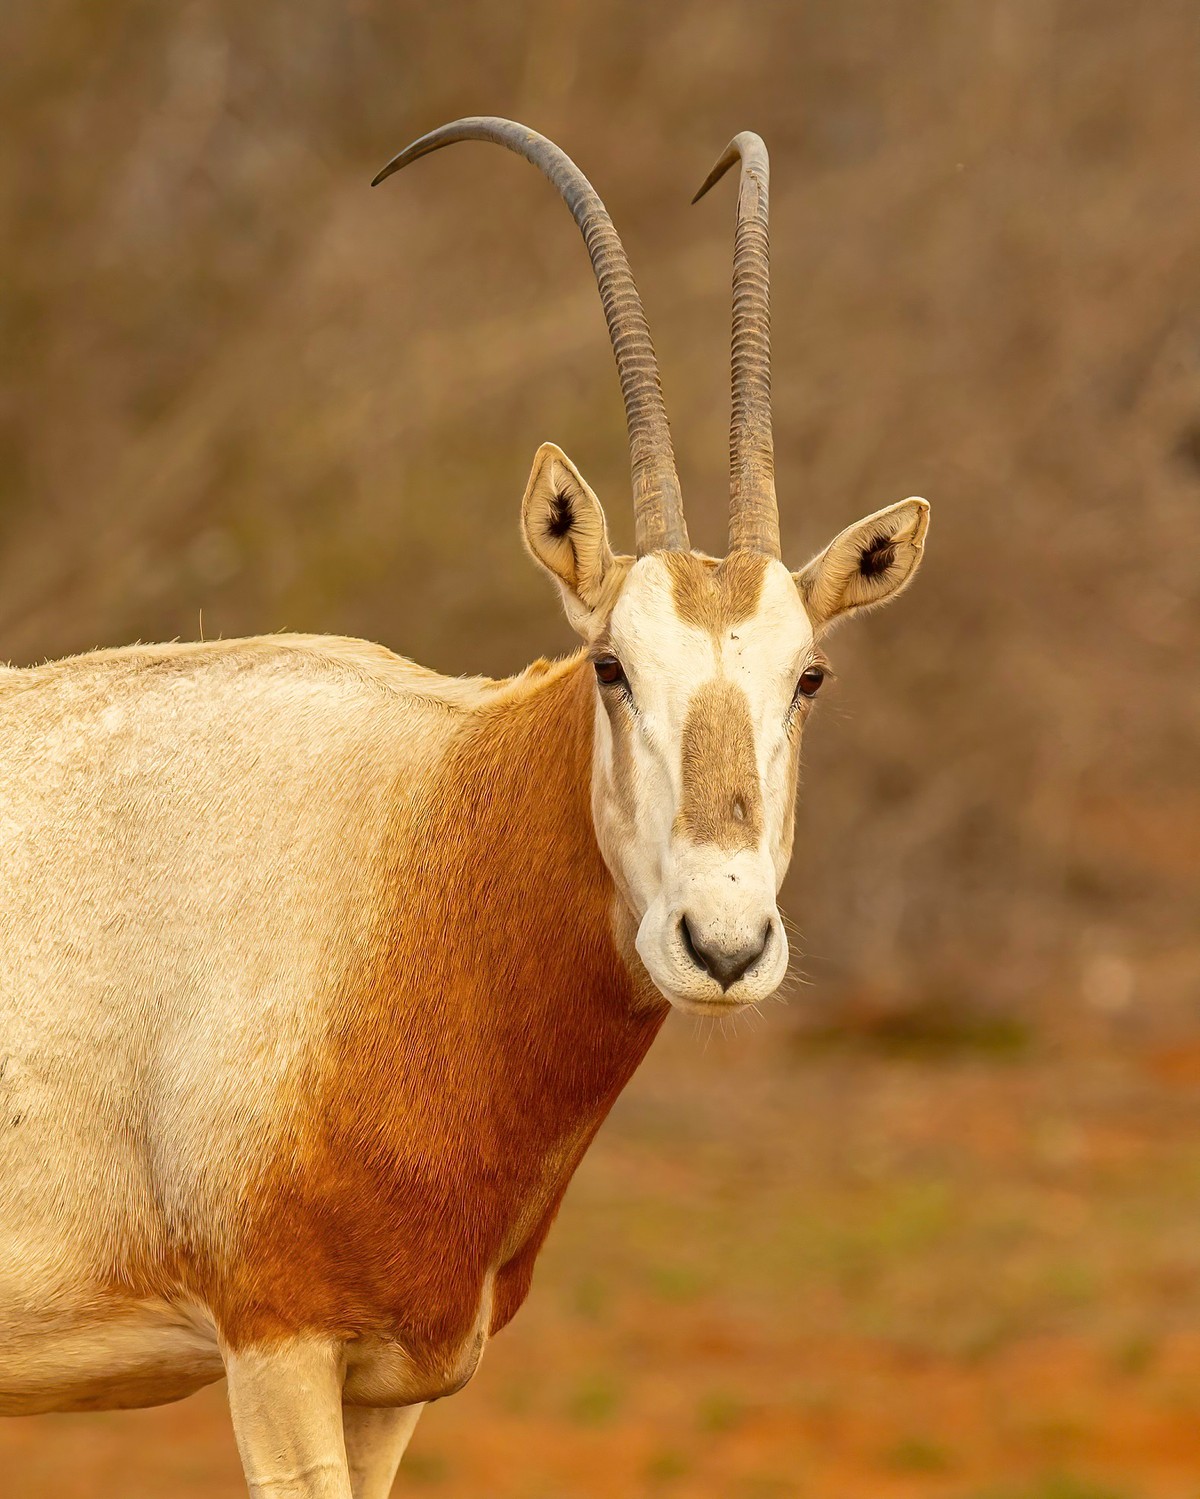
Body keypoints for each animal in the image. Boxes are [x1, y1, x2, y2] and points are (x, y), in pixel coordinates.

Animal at [0, 118, 928, 1497]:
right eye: (611, 663)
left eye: (808, 676)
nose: (722, 943)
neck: (417, 836)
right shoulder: (277, 1348)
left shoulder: (399, 1378)